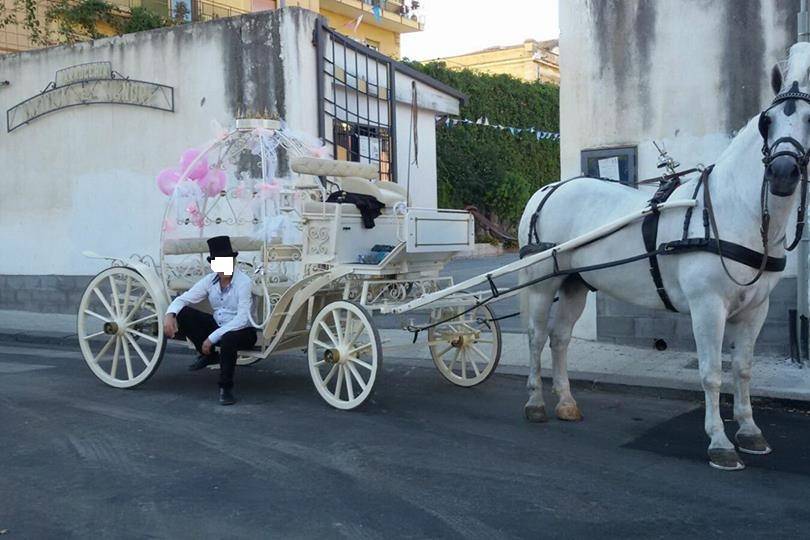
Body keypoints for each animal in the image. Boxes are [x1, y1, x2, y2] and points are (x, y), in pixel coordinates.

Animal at [516, 44, 808, 470]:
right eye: (766, 122)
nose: (783, 172)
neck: (732, 208)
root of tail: (547, 189)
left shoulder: (757, 309)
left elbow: (743, 370)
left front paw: (750, 431)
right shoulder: (708, 306)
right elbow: (711, 373)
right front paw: (719, 442)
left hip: (576, 284)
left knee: (560, 338)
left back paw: (567, 402)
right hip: (542, 284)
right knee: (536, 338)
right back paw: (536, 402)